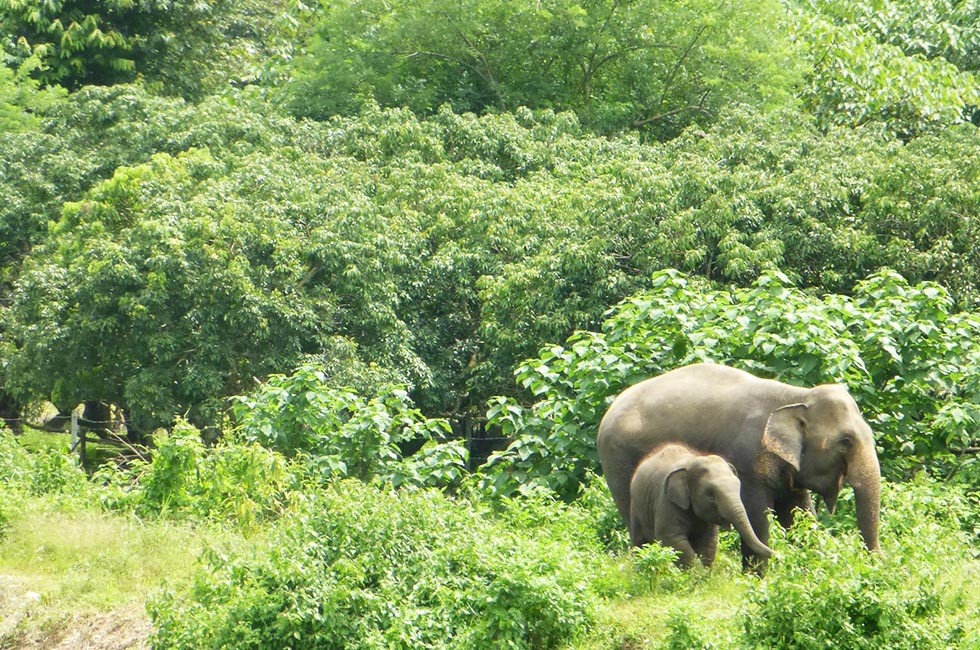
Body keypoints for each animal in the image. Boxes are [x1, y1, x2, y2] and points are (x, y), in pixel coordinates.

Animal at [629, 443, 774, 567]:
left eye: (738, 488)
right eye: (711, 495)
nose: (776, 553)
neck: (691, 462)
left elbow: (709, 544)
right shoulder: (666, 502)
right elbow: (672, 539)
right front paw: (696, 575)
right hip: (636, 508)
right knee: (639, 542)